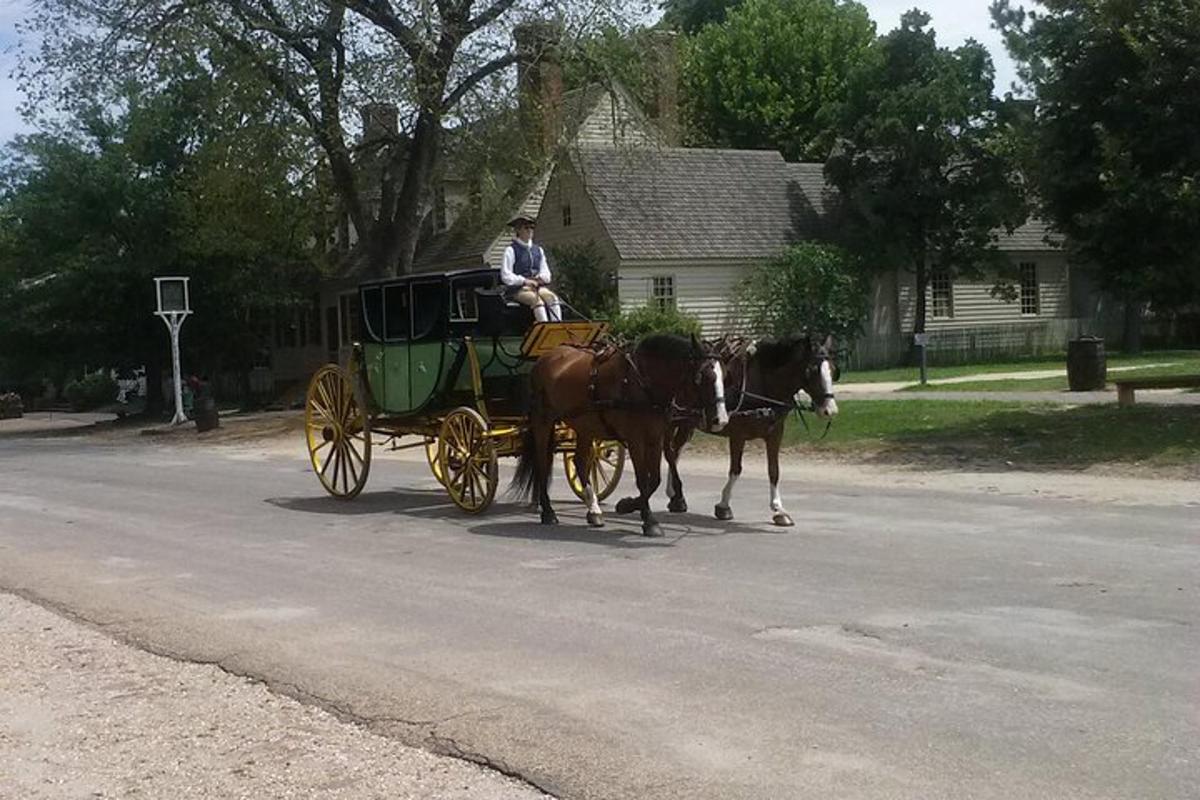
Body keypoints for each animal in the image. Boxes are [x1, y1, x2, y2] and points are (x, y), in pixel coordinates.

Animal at [511, 333, 724, 537]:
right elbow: (642, 480)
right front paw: (649, 520)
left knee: (580, 462)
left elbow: (654, 479)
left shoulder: (655, 438)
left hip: (585, 426)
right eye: (703, 377)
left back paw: (593, 510)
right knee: (542, 463)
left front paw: (629, 505)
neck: (642, 382)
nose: (720, 419)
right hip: (543, 421)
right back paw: (548, 511)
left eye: (724, 376)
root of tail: (546, 358)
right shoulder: (636, 439)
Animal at [624, 335, 840, 527]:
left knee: (674, 452)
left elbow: (774, 471)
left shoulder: (775, 433)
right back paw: (676, 495)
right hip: (669, 422)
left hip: (686, 424)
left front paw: (779, 510)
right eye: (812, 370)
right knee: (669, 453)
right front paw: (723, 506)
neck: (761, 382)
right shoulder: (738, 435)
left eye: (832, 371)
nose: (830, 410)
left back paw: (675, 496)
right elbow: (736, 469)